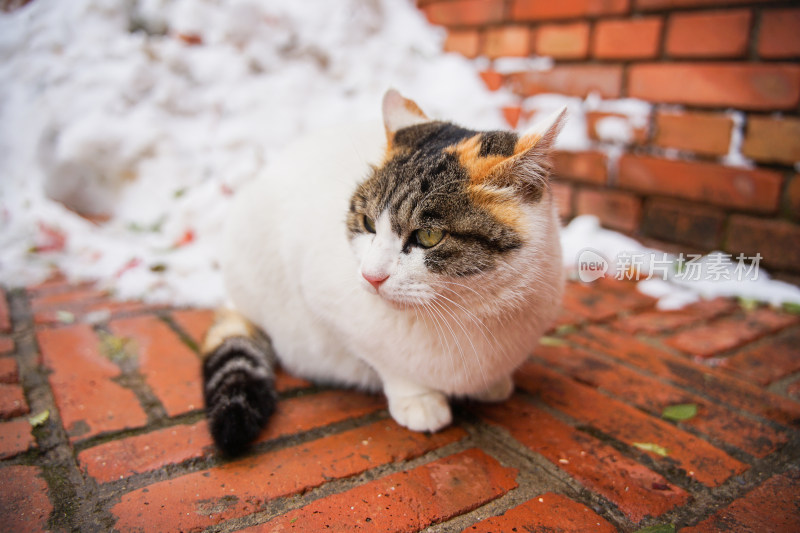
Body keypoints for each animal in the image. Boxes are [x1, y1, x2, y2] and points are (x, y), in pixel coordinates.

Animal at [200, 90, 564, 454]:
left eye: (428, 236)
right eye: (368, 223)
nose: (370, 276)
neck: (467, 312)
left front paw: (492, 384)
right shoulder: (326, 303)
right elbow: (388, 362)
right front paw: (418, 398)